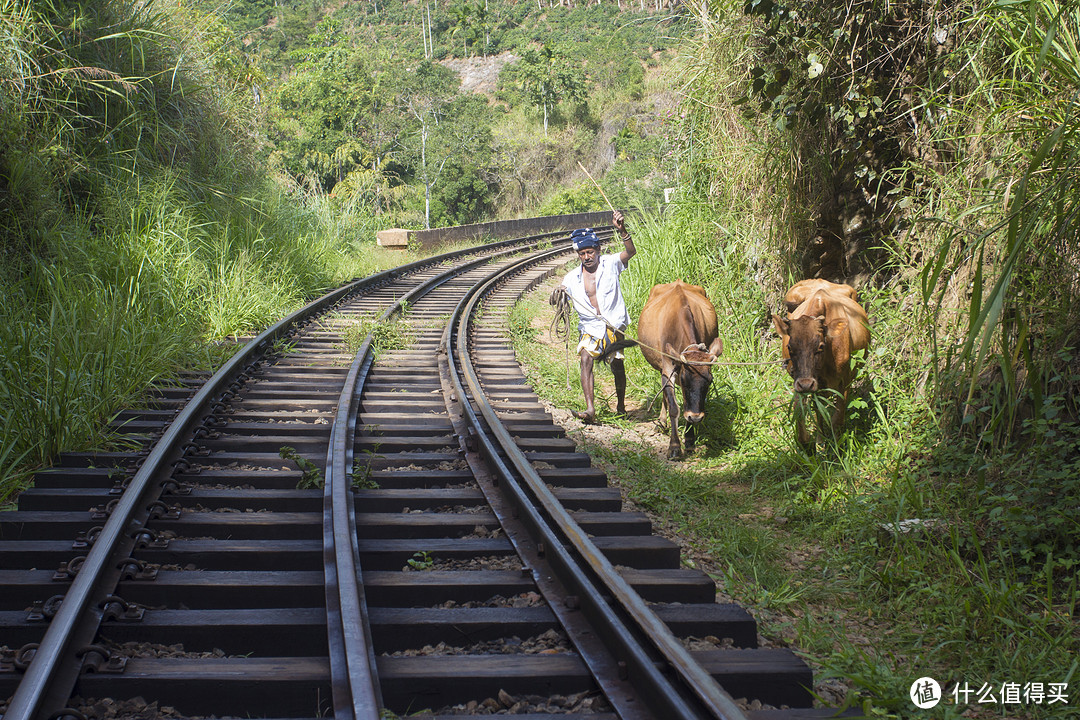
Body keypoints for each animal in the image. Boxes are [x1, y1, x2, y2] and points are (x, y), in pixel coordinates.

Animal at [635, 278, 721, 459]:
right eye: (684, 379)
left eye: (709, 382)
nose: (696, 418)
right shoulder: (668, 368)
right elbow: (674, 407)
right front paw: (674, 447)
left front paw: (689, 440)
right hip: (661, 366)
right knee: (666, 395)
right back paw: (661, 422)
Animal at [773, 278, 872, 446]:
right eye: (789, 347)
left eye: (820, 346)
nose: (806, 384)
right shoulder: (803, 380)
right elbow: (803, 412)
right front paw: (813, 442)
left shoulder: (845, 379)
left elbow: (837, 418)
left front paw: (836, 446)